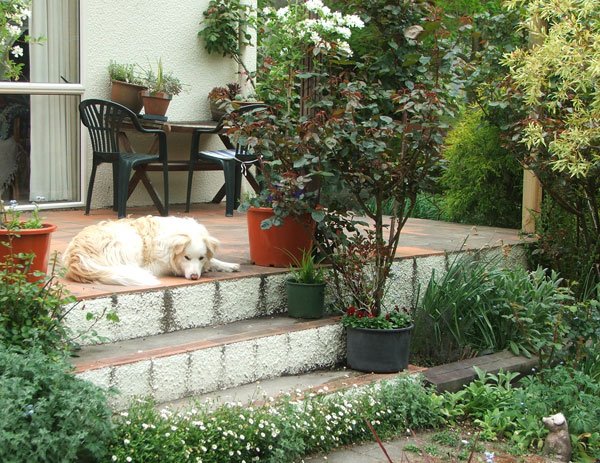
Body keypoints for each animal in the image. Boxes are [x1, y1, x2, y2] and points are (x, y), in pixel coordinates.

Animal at [61, 217, 239, 286]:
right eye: (186, 257)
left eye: (201, 258)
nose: (195, 277)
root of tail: (76, 257)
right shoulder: (159, 265)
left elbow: (213, 260)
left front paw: (228, 265)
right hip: (131, 240)